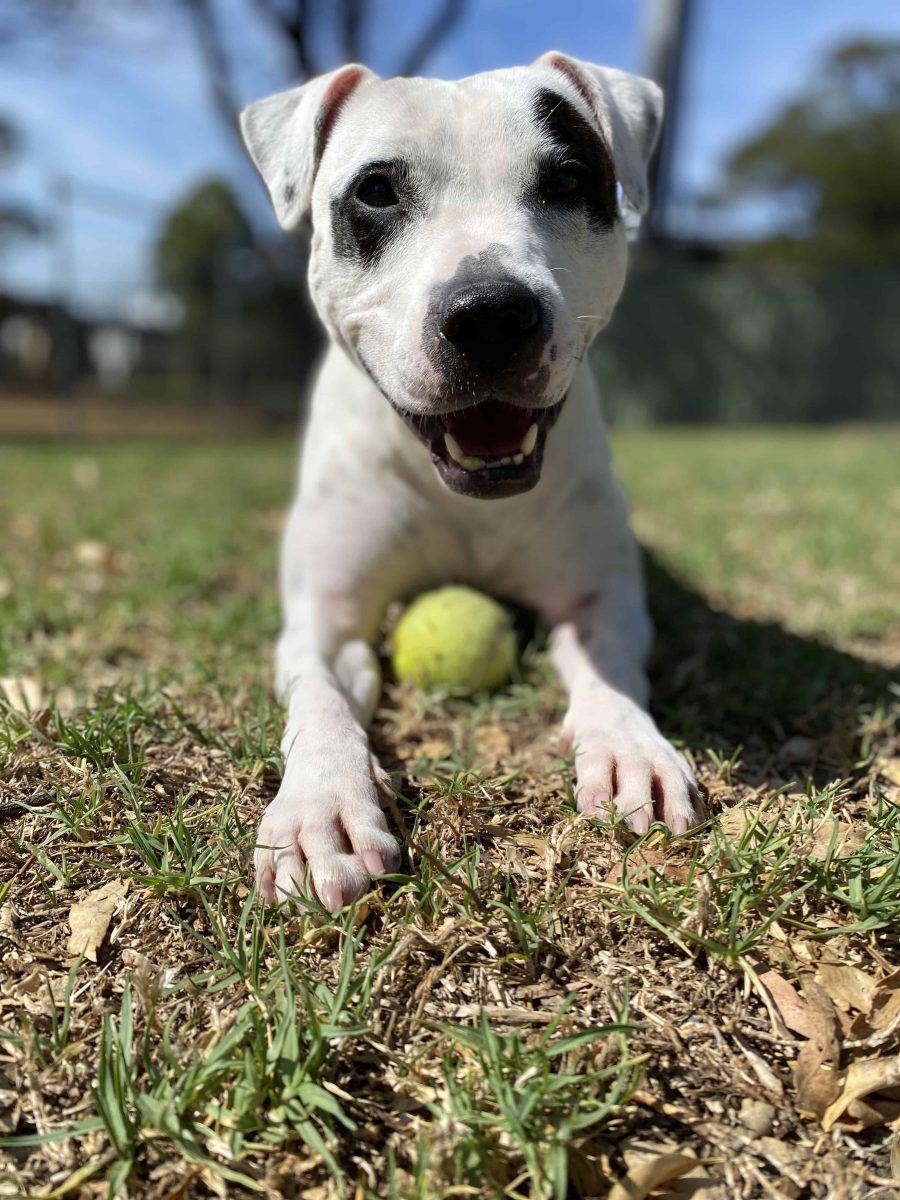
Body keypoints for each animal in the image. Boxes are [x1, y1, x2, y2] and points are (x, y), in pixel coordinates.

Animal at [243, 46, 710, 907]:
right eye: (376, 191)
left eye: (567, 179)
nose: (490, 313)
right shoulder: (325, 619)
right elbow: (321, 699)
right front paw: (321, 806)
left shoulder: (599, 598)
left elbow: (610, 671)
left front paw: (631, 747)